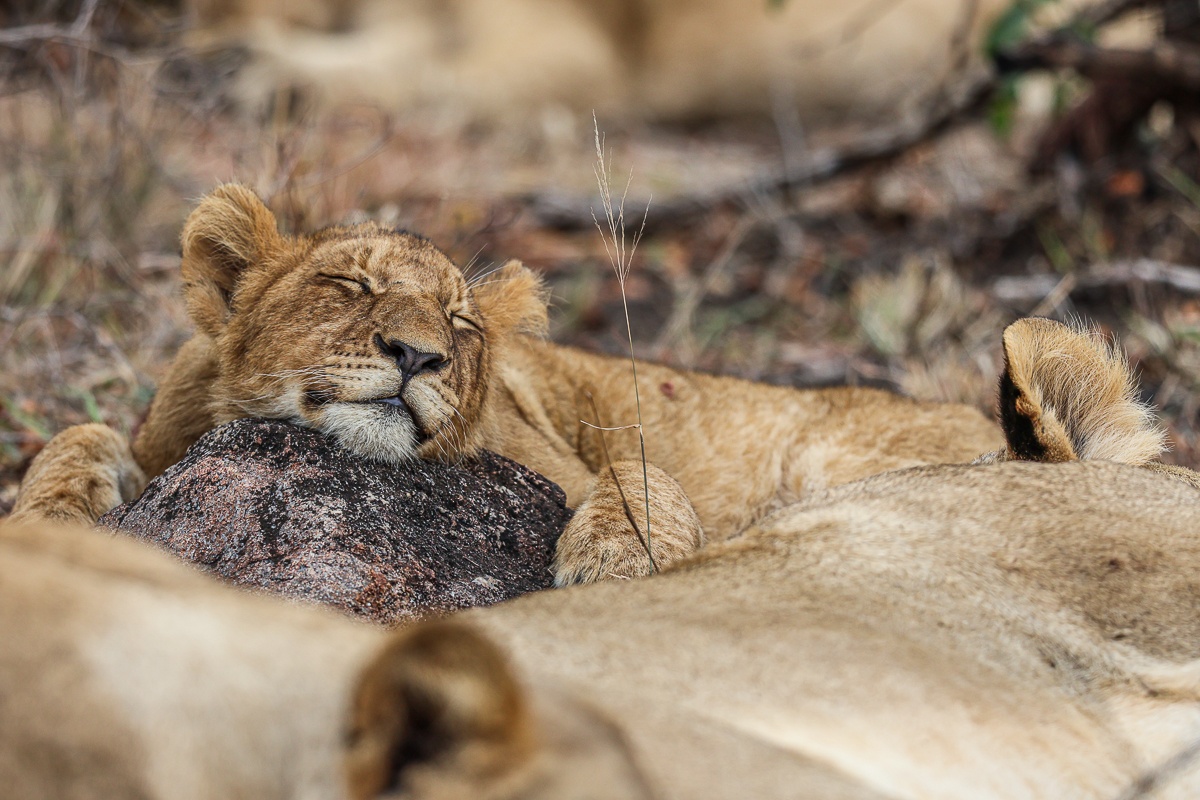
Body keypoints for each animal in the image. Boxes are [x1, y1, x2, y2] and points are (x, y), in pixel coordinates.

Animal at [12, 183, 1004, 584]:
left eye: (461, 323)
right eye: (350, 285)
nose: (418, 356)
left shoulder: (563, 460)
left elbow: (639, 475)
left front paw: (615, 560)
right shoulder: (157, 440)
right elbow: (76, 435)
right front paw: (47, 518)